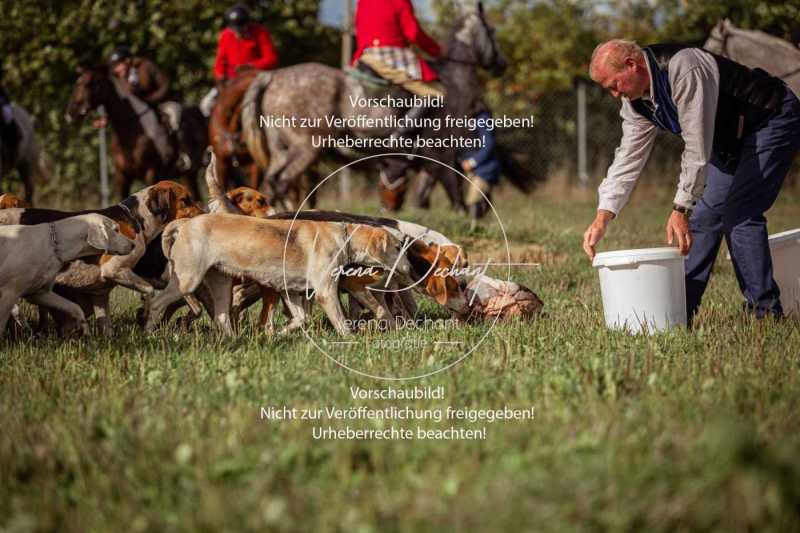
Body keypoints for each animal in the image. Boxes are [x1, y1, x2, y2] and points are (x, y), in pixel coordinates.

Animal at [0, 213, 134, 334]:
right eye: (116, 230)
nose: (133, 245)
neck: (53, 245)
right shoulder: (9, 294)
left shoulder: (39, 294)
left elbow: (75, 308)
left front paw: (85, 331)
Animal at [65, 66, 206, 200]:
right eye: (77, 82)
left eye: (88, 83)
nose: (70, 113)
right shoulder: (122, 177)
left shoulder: (151, 173)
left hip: (190, 172)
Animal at [145, 213, 412, 334]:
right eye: (397, 248)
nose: (410, 269)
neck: (344, 236)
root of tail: (185, 222)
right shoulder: (326, 293)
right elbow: (341, 323)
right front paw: (349, 340)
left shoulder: (290, 290)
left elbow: (301, 319)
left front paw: (278, 335)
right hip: (187, 281)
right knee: (155, 303)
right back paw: (148, 334)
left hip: (221, 285)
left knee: (221, 317)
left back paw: (234, 340)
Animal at [239, 2, 506, 214]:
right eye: (492, 31)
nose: (501, 65)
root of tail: (272, 78)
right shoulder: (441, 152)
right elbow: (452, 188)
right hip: (307, 147)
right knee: (282, 181)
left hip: (280, 148)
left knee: (271, 182)